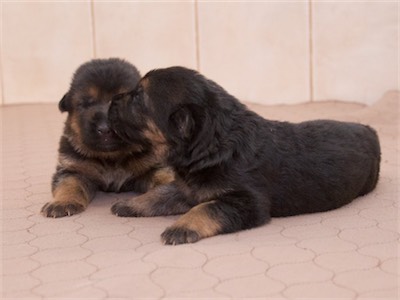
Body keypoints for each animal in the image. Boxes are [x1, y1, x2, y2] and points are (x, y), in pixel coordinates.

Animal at [39, 58, 175, 218]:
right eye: (86, 103)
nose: (105, 129)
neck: (111, 158)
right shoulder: (73, 169)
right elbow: (68, 185)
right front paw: (62, 203)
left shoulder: (154, 167)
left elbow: (166, 178)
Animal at [107, 65, 382, 244]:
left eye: (138, 98)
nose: (111, 101)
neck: (216, 145)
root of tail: (369, 130)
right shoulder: (187, 187)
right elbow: (161, 192)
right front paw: (130, 204)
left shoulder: (248, 201)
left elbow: (207, 208)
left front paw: (180, 227)